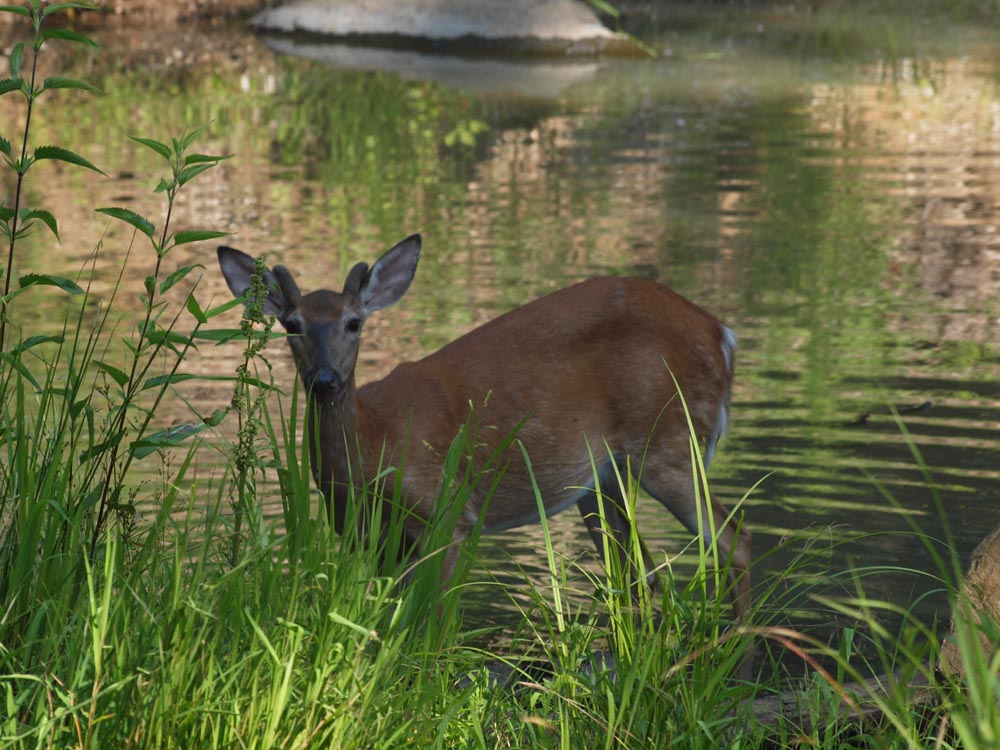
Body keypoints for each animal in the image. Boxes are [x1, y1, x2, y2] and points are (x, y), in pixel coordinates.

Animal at [217, 234, 750, 622]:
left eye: (353, 322)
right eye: (292, 325)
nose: (325, 380)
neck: (373, 445)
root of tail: (723, 335)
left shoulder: (447, 512)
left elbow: (435, 619)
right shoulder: (369, 537)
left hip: (670, 441)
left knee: (734, 542)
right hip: (603, 477)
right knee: (641, 575)